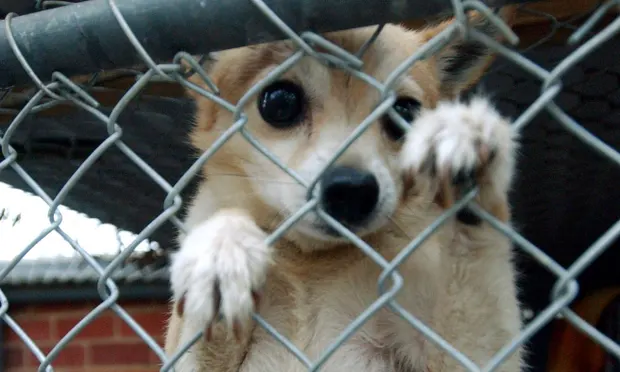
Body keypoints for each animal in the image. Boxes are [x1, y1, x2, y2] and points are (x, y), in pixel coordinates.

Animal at [163, 8, 524, 372]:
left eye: (405, 113)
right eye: (279, 102)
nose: (352, 190)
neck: (312, 262)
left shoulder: (468, 352)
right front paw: (223, 247)